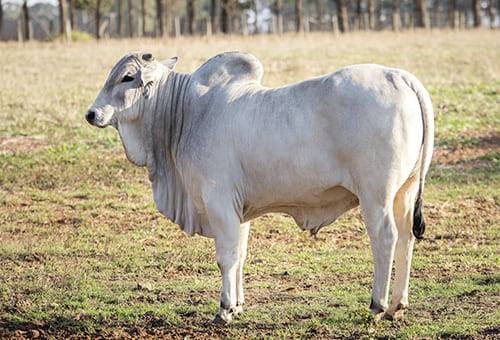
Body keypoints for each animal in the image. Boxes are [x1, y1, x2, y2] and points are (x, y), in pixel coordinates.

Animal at [86, 52, 434, 324]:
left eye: (127, 78)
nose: (91, 114)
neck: (185, 113)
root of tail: (399, 76)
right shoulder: (239, 210)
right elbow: (240, 255)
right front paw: (238, 305)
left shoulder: (219, 203)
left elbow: (226, 257)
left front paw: (225, 309)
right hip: (404, 191)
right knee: (406, 238)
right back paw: (398, 305)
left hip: (376, 194)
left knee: (386, 238)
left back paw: (378, 305)